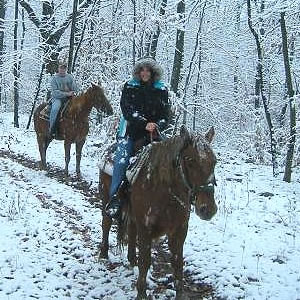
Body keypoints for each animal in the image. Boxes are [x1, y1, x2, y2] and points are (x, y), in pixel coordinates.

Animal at [98, 125, 218, 298]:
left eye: (214, 161)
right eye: (190, 160)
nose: (208, 209)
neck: (164, 190)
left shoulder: (179, 230)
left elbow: (177, 262)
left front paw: (180, 294)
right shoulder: (146, 227)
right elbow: (145, 260)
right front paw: (141, 293)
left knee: (131, 230)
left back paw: (131, 260)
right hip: (106, 198)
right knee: (106, 224)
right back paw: (103, 254)